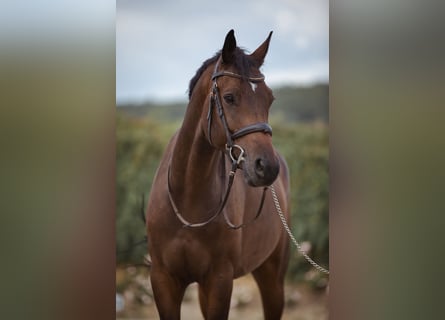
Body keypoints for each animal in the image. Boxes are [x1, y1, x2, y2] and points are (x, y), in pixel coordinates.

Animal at [147, 29, 292, 318]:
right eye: (229, 97)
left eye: (270, 98)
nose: (267, 167)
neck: (188, 200)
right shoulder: (163, 279)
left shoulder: (220, 281)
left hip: (271, 275)